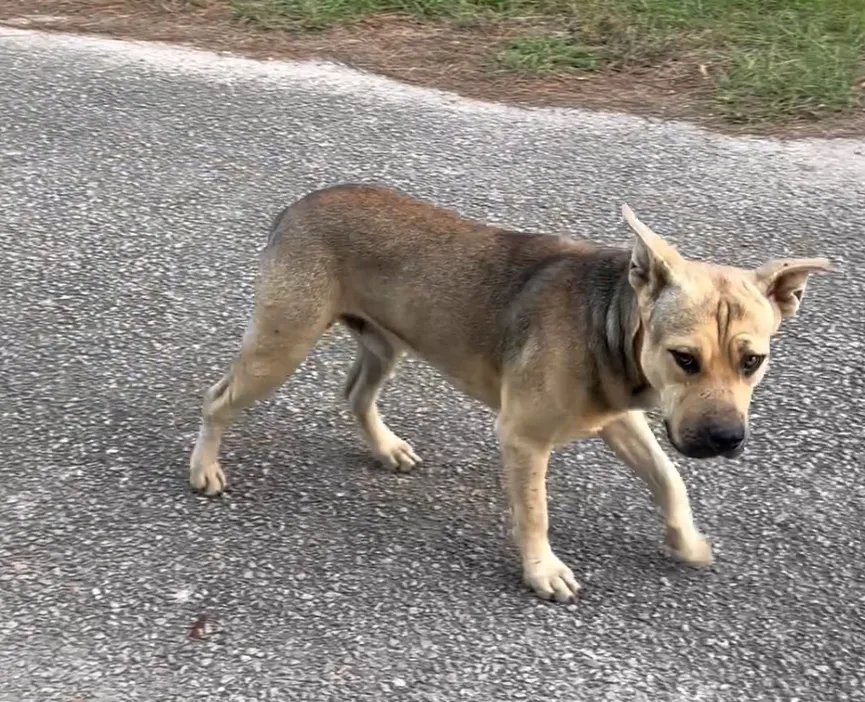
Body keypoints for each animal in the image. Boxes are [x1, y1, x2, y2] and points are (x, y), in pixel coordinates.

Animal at [191, 184, 832, 604]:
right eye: (685, 358)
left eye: (753, 361)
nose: (726, 438)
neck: (611, 319)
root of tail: (297, 206)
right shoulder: (524, 438)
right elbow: (535, 512)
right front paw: (542, 570)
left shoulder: (619, 419)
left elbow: (668, 479)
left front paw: (686, 539)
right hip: (282, 344)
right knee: (217, 398)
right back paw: (204, 466)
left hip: (383, 342)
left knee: (354, 394)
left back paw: (386, 446)